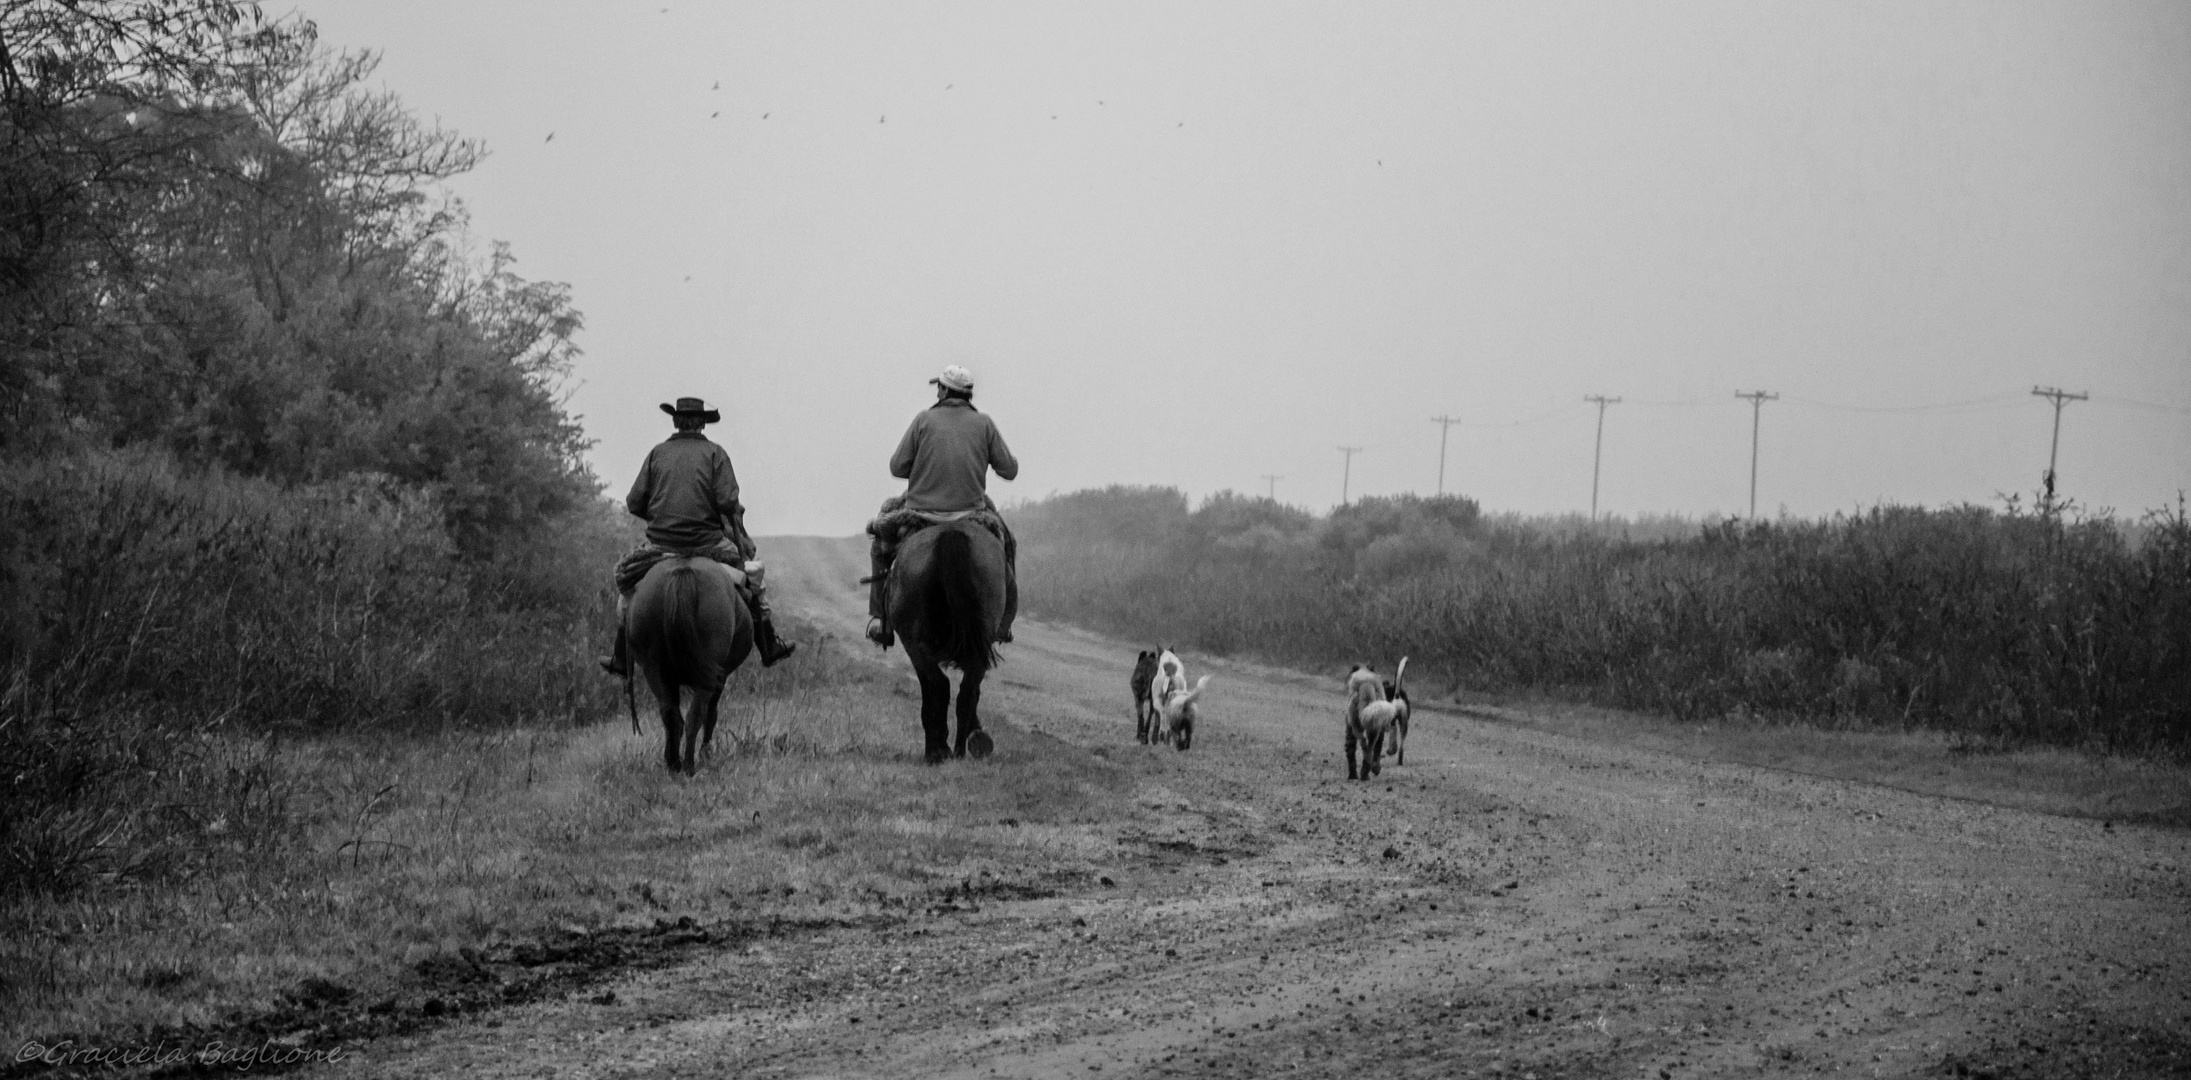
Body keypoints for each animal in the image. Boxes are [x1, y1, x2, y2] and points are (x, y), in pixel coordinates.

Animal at [626, 556, 753, 775]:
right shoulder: (720, 677)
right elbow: (711, 714)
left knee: (670, 715)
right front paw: (706, 753)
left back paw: (674, 764)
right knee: (696, 716)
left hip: (654, 668)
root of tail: (682, 573)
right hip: (707, 675)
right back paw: (689, 765)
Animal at [885, 516, 1003, 762]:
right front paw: (976, 736)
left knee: (940, 686)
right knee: (966, 692)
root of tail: (951, 533)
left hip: (915, 644)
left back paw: (937, 751)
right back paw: (958, 750)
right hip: (980, 639)